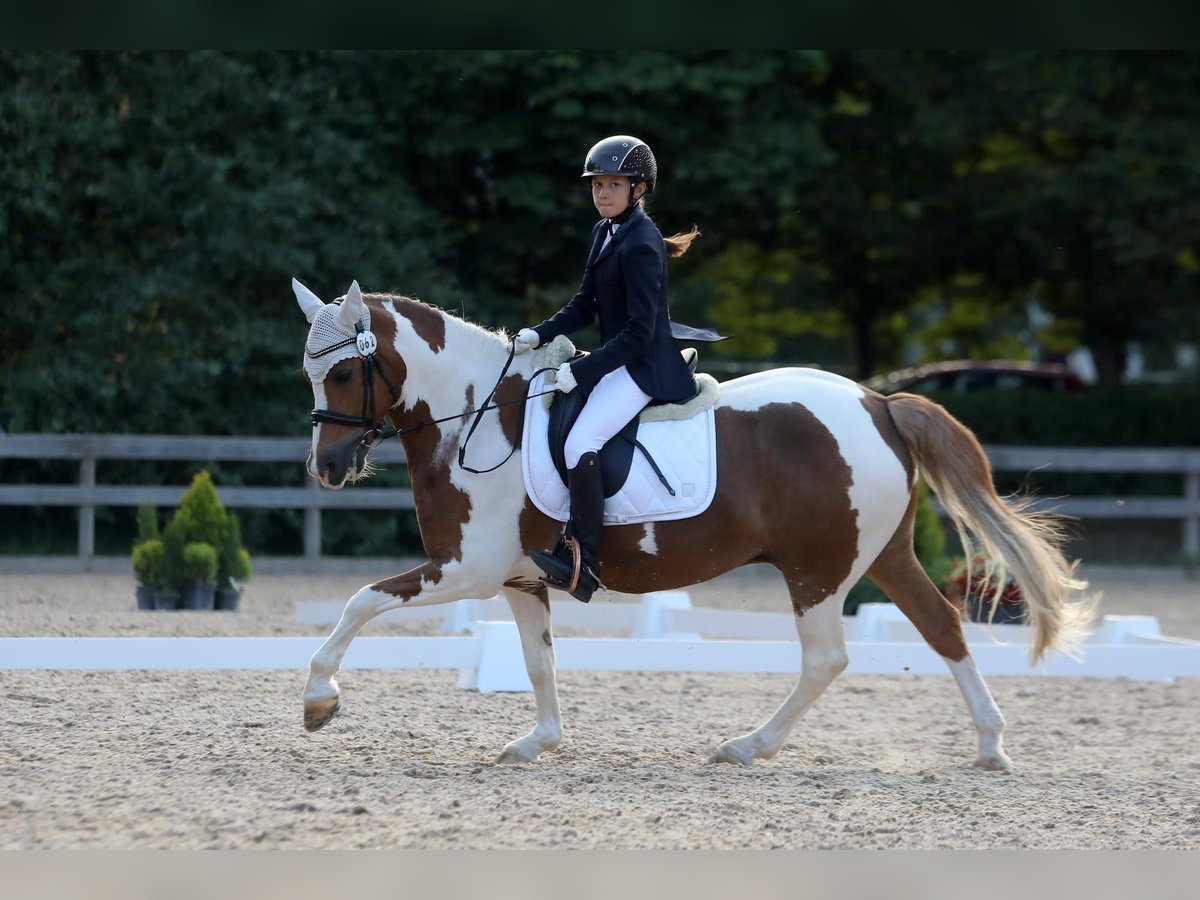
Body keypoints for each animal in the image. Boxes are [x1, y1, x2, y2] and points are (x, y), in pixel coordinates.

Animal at [292, 278, 1099, 772]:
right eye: (310, 373)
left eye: (343, 373)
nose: (325, 468)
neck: (479, 419)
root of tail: (878, 401)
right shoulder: (518, 576)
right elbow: (538, 659)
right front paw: (537, 742)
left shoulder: (468, 568)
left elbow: (361, 601)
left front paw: (319, 700)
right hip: (882, 555)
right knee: (942, 626)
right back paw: (991, 745)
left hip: (818, 568)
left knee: (827, 658)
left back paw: (748, 746)